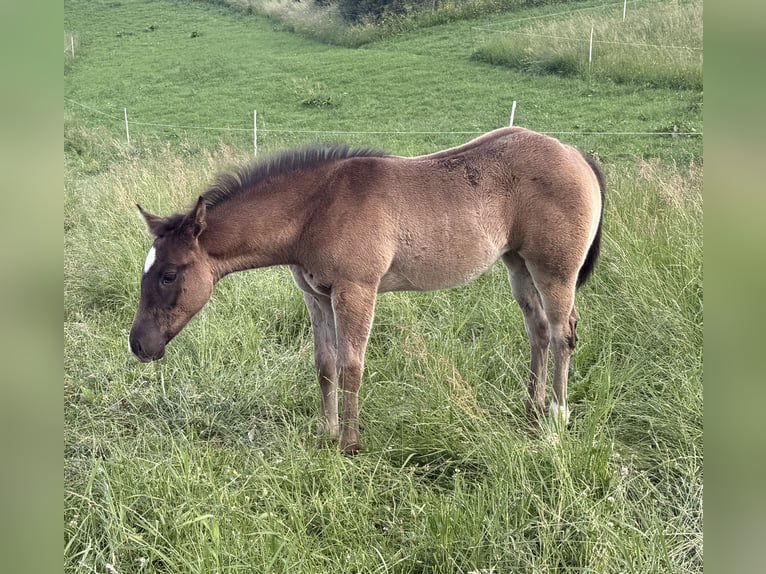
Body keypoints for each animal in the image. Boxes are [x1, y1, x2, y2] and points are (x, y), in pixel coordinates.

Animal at [129, 127, 605, 455]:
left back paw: (557, 418)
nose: (138, 344)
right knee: (538, 330)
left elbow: (350, 367)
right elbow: (324, 364)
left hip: (555, 271)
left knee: (563, 334)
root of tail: (576, 154)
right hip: (518, 265)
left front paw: (350, 444)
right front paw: (325, 433)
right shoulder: (316, 295)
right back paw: (532, 408)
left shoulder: (355, 290)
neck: (316, 209)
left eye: (169, 275)